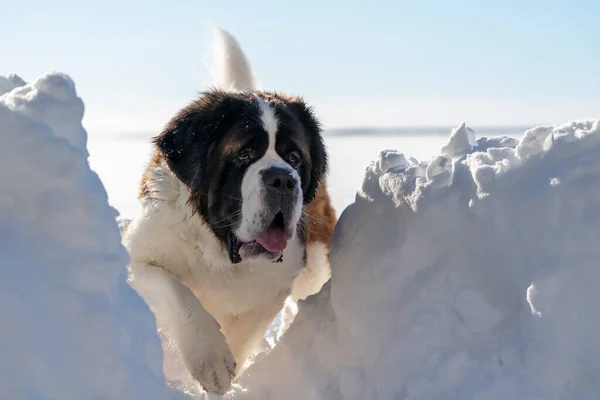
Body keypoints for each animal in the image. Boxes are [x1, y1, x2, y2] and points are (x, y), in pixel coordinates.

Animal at [122, 26, 338, 396]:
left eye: (294, 157)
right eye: (244, 154)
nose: (283, 179)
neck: (219, 249)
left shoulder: (274, 286)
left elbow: (243, 334)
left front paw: (225, 373)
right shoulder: (138, 256)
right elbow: (176, 291)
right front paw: (209, 357)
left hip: (315, 265)